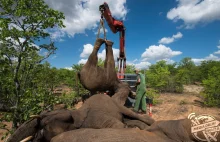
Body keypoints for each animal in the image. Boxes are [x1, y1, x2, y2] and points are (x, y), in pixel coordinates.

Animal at [7, 93, 155, 141]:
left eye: (45, 123)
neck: (74, 113)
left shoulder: (95, 119)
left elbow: (118, 126)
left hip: (117, 104)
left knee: (131, 114)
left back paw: (151, 122)